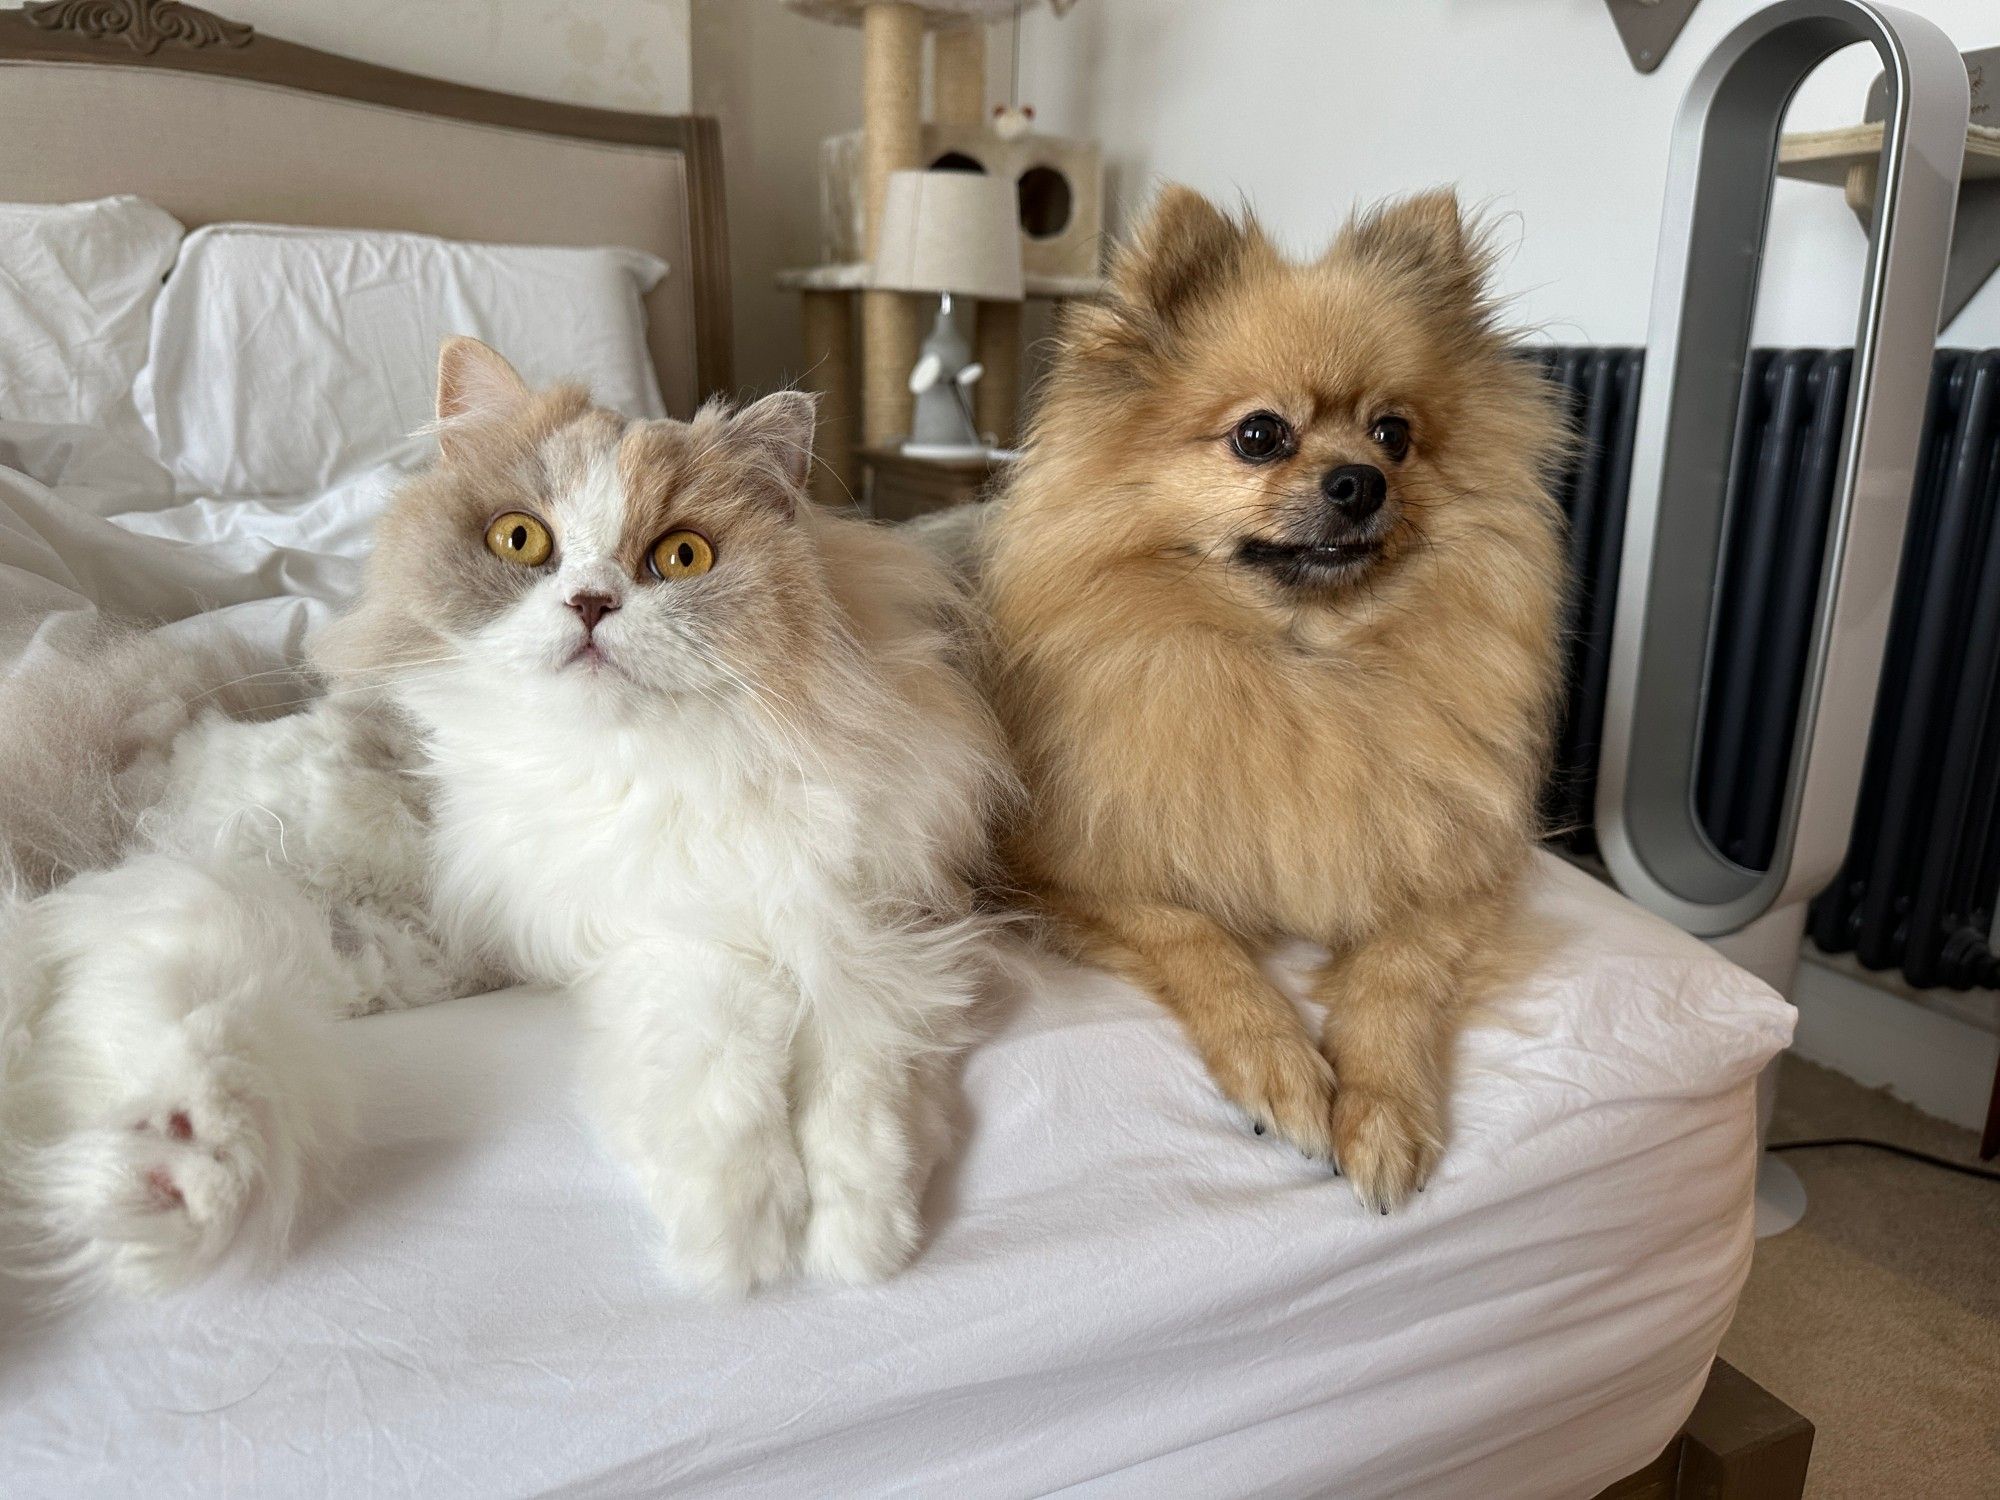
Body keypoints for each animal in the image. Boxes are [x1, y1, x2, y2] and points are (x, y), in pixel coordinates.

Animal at [0, 338, 1000, 1296]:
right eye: (521, 540)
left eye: (681, 557)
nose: (591, 603)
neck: (629, 772)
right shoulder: (651, 933)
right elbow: (722, 1067)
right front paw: (739, 1238)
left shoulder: (839, 925)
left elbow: (855, 1093)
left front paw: (853, 1241)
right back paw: (177, 1169)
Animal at [992, 188, 1568, 1216]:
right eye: (1260, 435)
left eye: (1394, 434)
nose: (1360, 481)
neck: (1300, 661)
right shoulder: (1073, 872)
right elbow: (1197, 940)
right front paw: (1280, 1065)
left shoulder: (1457, 871)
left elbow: (1398, 976)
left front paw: (1382, 1107)